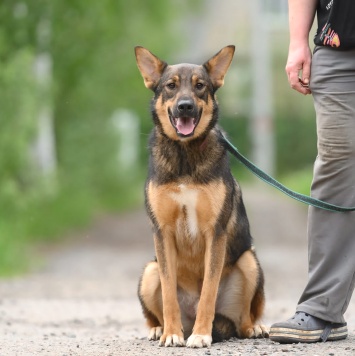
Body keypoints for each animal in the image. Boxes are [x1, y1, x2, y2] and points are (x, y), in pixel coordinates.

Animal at [135, 44, 268, 348]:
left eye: (200, 86)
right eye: (171, 86)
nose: (185, 106)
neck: (185, 155)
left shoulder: (215, 233)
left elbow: (208, 289)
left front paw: (201, 335)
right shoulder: (162, 233)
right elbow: (169, 293)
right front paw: (172, 334)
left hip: (249, 261)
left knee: (245, 318)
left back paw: (253, 327)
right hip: (149, 271)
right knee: (154, 313)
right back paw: (160, 329)